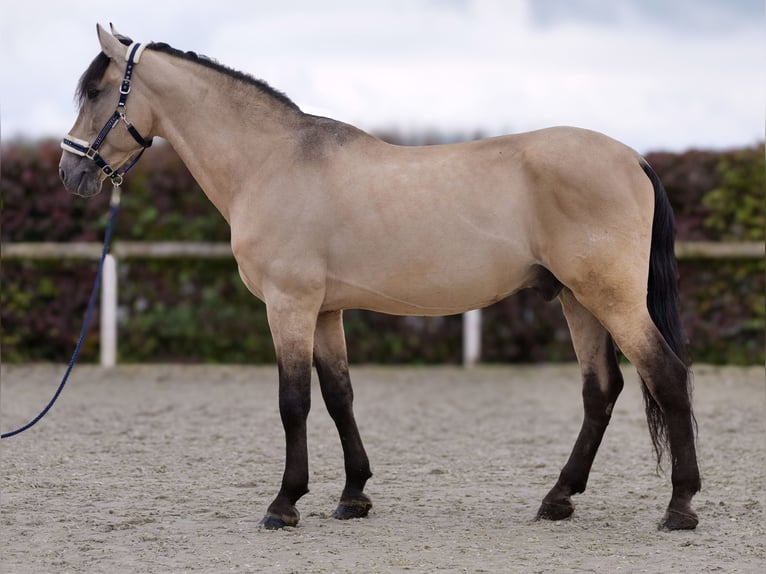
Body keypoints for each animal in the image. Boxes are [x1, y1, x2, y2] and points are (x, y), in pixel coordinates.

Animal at [60, 25, 704, 532]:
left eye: (96, 92)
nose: (70, 172)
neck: (272, 161)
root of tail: (632, 158)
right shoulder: (324, 310)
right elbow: (339, 395)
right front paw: (353, 496)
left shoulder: (289, 306)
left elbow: (293, 401)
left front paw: (284, 504)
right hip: (578, 300)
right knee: (602, 390)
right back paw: (558, 499)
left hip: (611, 299)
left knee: (668, 377)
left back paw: (679, 507)